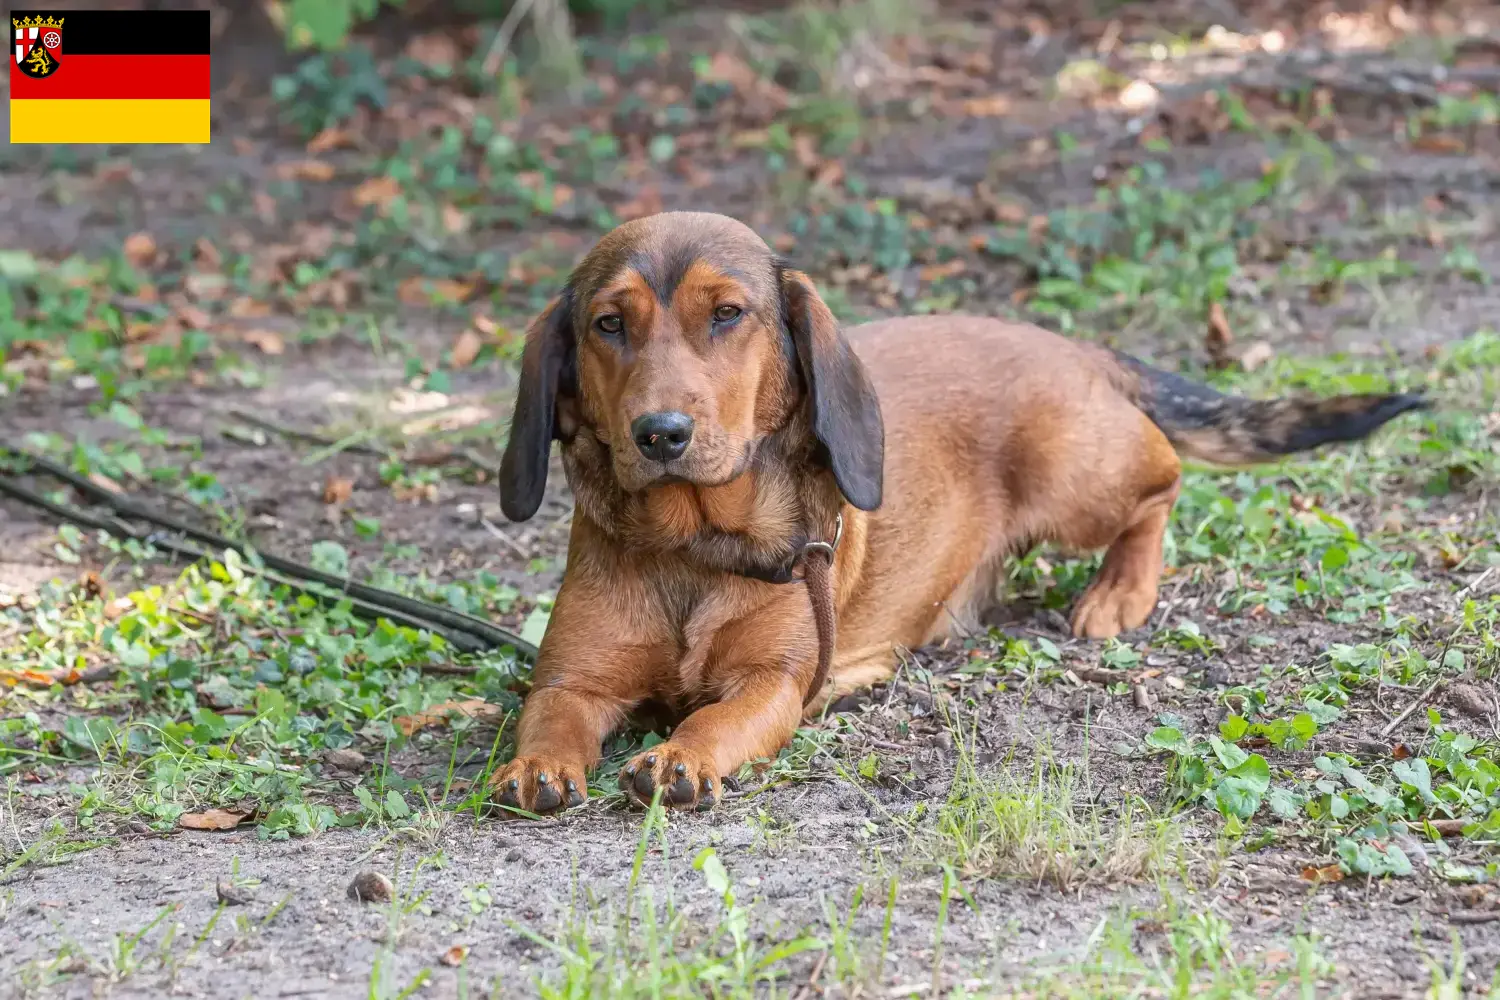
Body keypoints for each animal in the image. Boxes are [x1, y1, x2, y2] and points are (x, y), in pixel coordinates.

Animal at [489, 211, 1416, 815]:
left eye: (726, 314)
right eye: (609, 323)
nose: (660, 434)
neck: (694, 545)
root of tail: (1075, 346)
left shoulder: (774, 683)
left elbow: (717, 715)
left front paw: (682, 753)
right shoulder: (572, 679)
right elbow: (552, 718)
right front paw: (537, 764)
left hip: (1078, 482)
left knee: (1165, 481)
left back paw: (1119, 591)